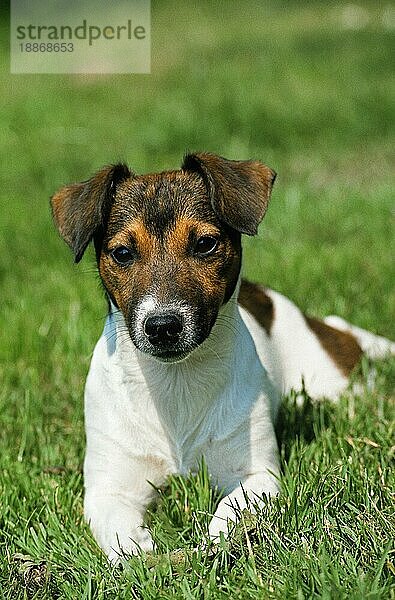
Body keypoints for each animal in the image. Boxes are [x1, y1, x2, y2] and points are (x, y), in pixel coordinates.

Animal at [51, 154, 394, 564]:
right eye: (122, 253)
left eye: (205, 244)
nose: (162, 326)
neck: (177, 380)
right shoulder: (109, 491)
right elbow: (121, 536)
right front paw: (143, 558)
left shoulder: (256, 476)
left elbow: (229, 511)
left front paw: (209, 547)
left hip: (330, 380)